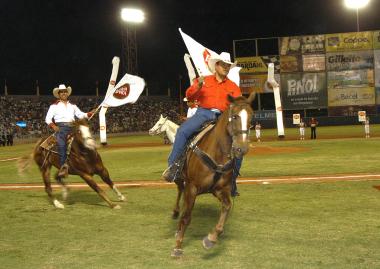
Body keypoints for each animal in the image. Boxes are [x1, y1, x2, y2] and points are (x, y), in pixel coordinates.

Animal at [171, 93, 255, 256]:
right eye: (234, 116)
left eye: (251, 117)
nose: (241, 148)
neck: (217, 153)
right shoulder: (192, 187)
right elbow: (187, 217)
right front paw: (178, 245)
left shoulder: (220, 189)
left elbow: (227, 207)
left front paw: (211, 238)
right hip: (180, 177)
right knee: (179, 190)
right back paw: (176, 212)